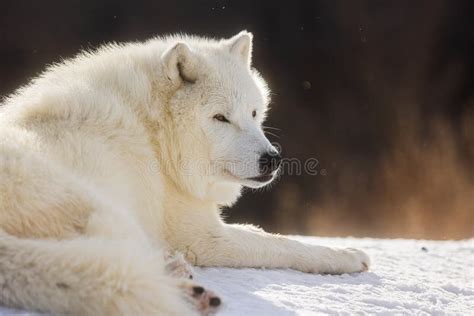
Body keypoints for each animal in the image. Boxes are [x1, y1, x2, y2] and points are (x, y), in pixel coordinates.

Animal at [0, 30, 370, 314]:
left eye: (253, 113)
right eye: (221, 118)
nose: (272, 160)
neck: (156, 134)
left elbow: (267, 235)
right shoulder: (201, 237)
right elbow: (283, 245)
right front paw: (348, 255)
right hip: (104, 208)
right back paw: (188, 292)